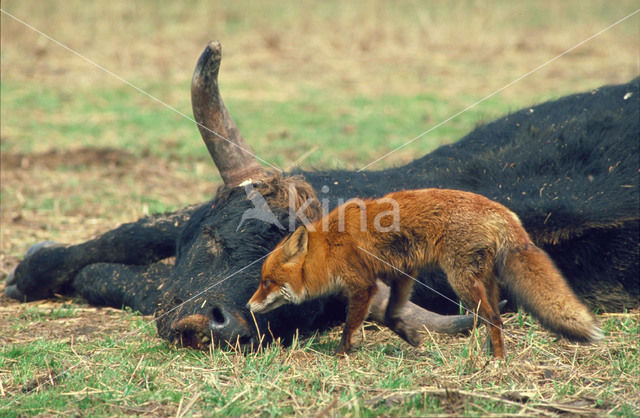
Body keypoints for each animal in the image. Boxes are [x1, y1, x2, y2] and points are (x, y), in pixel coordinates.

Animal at [246, 189, 600, 356]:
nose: (248, 306)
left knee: (493, 319)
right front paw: (412, 338)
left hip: (461, 280)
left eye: (267, 282)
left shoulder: (362, 286)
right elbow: (392, 316)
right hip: (483, 279)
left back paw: (497, 361)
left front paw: (341, 354)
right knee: (494, 317)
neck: (329, 246)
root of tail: (501, 209)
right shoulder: (404, 273)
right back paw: (490, 353)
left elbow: (349, 326)